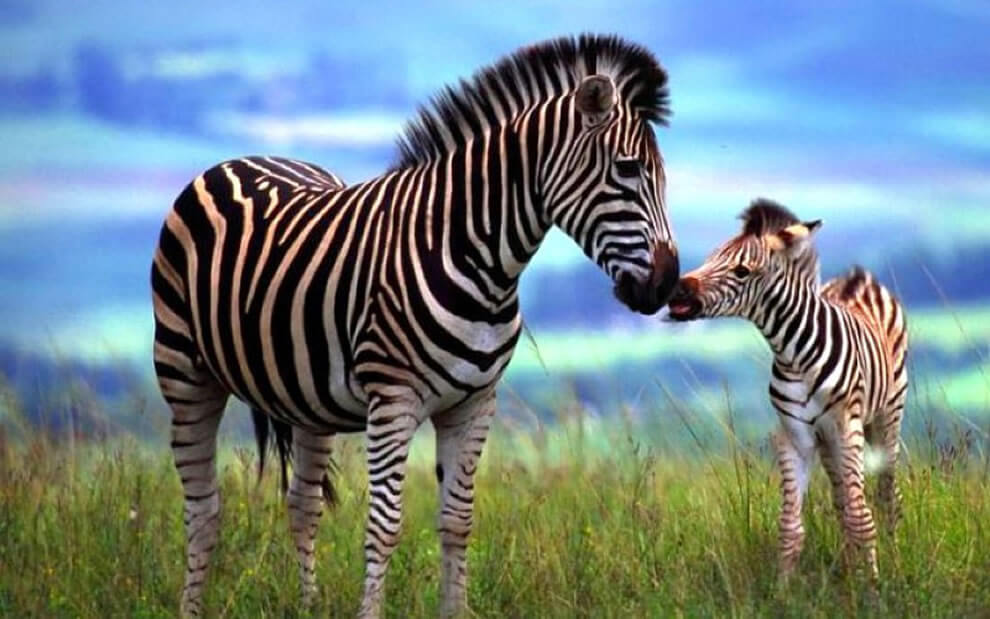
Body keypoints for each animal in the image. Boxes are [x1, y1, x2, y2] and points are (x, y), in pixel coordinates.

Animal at [153, 35, 680, 619]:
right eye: (628, 170)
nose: (666, 285)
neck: (476, 258)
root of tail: (239, 159)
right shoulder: (394, 399)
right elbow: (384, 527)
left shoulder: (475, 403)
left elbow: (457, 521)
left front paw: (456, 611)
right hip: (184, 371)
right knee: (203, 509)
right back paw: (190, 606)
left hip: (307, 398)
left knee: (302, 504)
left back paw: (308, 605)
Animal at [672, 201, 912, 584]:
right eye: (712, 257)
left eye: (742, 271)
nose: (678, 289)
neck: (793, 354)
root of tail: (858, 276)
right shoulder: (795, 435)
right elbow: (791, 526)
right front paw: (783, 588)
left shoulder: (846, 428)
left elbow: (862, 518)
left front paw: (873, 586)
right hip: (829, 441)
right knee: (843, 500)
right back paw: (848, 568)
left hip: (886, 417)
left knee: (887, 494)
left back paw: (892, 557)